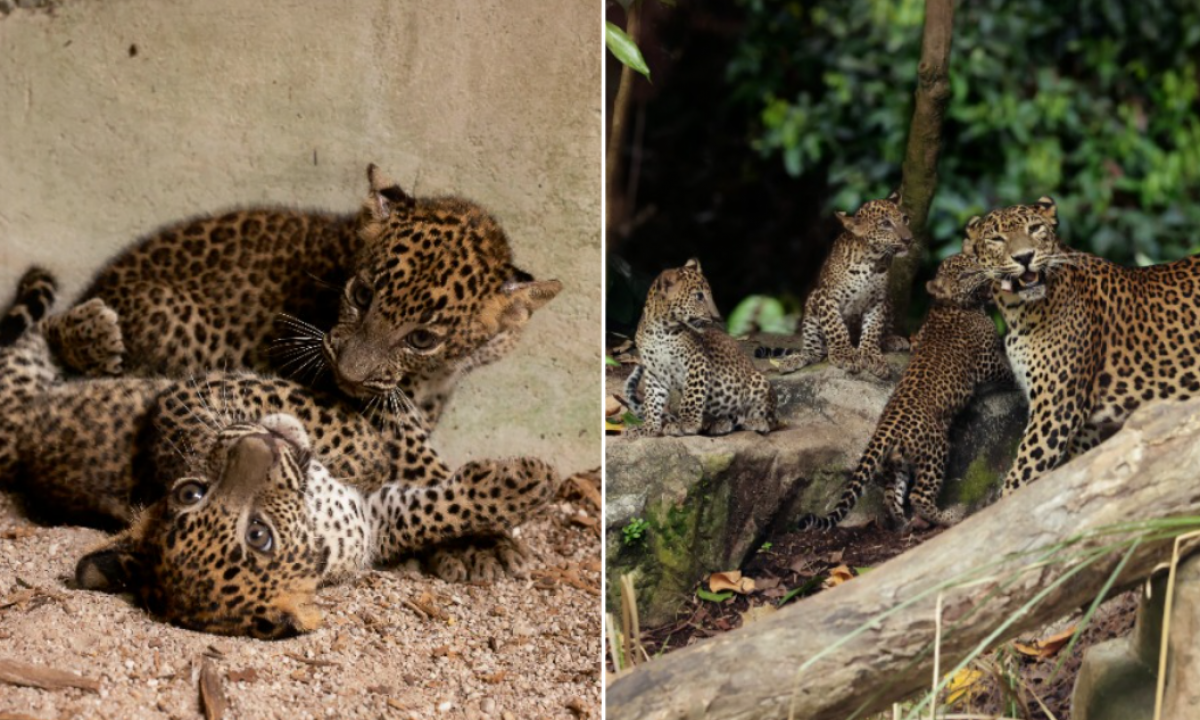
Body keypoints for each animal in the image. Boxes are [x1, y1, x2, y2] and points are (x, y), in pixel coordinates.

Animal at [0, 269, 559, 638]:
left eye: (191, 492)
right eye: (258, 536)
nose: (257, 446)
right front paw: (529, 478)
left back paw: (94, 333)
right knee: (29, 337)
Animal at [623, 258, 778, 437]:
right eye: (699, 296)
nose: (718, 317)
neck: (660, 330)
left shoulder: (697, 361)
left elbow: (691, 395)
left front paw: (687, 423)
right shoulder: (655, 372)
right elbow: (652, 402)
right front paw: (648, 427)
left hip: (758, 383)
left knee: (770, 419)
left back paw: (756, 422)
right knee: (735, 418)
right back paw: (719, 423)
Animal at [771, 190, 914, 379]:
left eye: (905, 219)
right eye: (885, 224)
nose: (909, 239)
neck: (872, 261)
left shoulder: (878, 300)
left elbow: (873, 328)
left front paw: (871, 355)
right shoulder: (827, 297)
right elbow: (836, 327)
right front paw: (845, 354)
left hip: (889, 301)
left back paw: (892, 339)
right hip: (811, 302)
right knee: (814, 352)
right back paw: (794, 359)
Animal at [797, 254, 1013, 531]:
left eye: (975, 261)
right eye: (967, 274)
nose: (987, 270)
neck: (949, 305)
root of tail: (887, 425)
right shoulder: (987, 362)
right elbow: (1005, 371)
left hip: (895, 462)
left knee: (893, 497)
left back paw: (905, 524)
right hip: (935, 450)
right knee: (918, 495)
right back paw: (949, 517)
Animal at [963, 196, 1200, 494]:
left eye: (1035, 228)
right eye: (996, 239)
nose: (1025, 257)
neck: (1019, 311)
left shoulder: (1055, 412)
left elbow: (1019, 480)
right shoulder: (1081, 425)